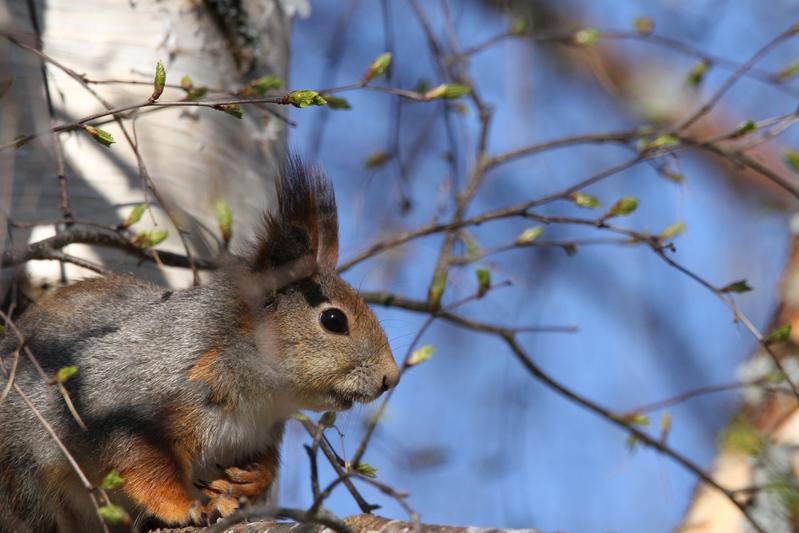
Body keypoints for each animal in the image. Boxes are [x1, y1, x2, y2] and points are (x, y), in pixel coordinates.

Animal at [0, 157, 400, 532]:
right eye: (334, 321)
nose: (391, 379)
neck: (261, 395)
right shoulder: (120, 399)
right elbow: (142, 462)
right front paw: (185, 507)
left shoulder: (260, 435)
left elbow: (263, 465)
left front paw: (252, 480)